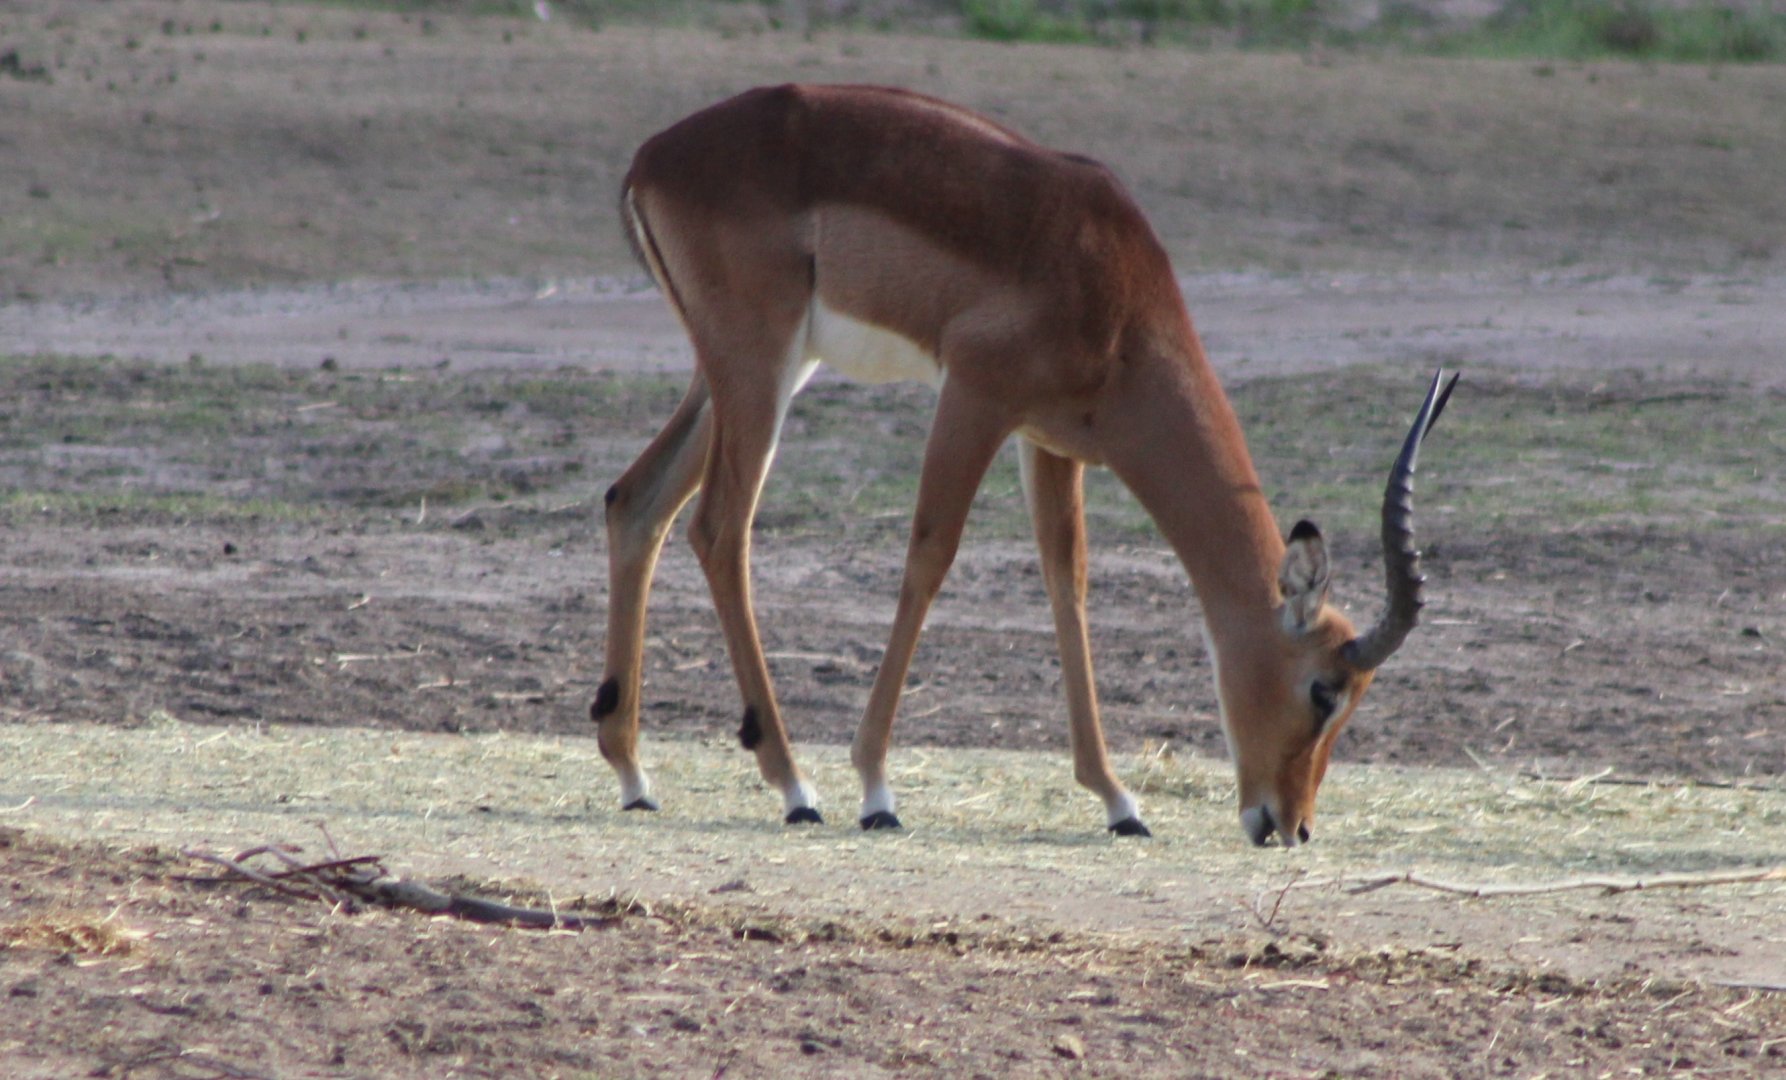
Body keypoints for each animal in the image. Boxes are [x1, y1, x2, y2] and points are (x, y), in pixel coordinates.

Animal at [593, 84, 1456, 846]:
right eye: (1323, 690)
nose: (1290, 825)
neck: (1111, 282)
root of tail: (649, 159)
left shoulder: (1051, 441)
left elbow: (1065, 582)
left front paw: (1118, 801)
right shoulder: (974, 396)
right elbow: (929, 558)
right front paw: (876, 790)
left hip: (749, 373)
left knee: (637, 501)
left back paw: (634, 776)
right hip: (759, 366)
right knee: (720, 528)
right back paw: (794, 787)